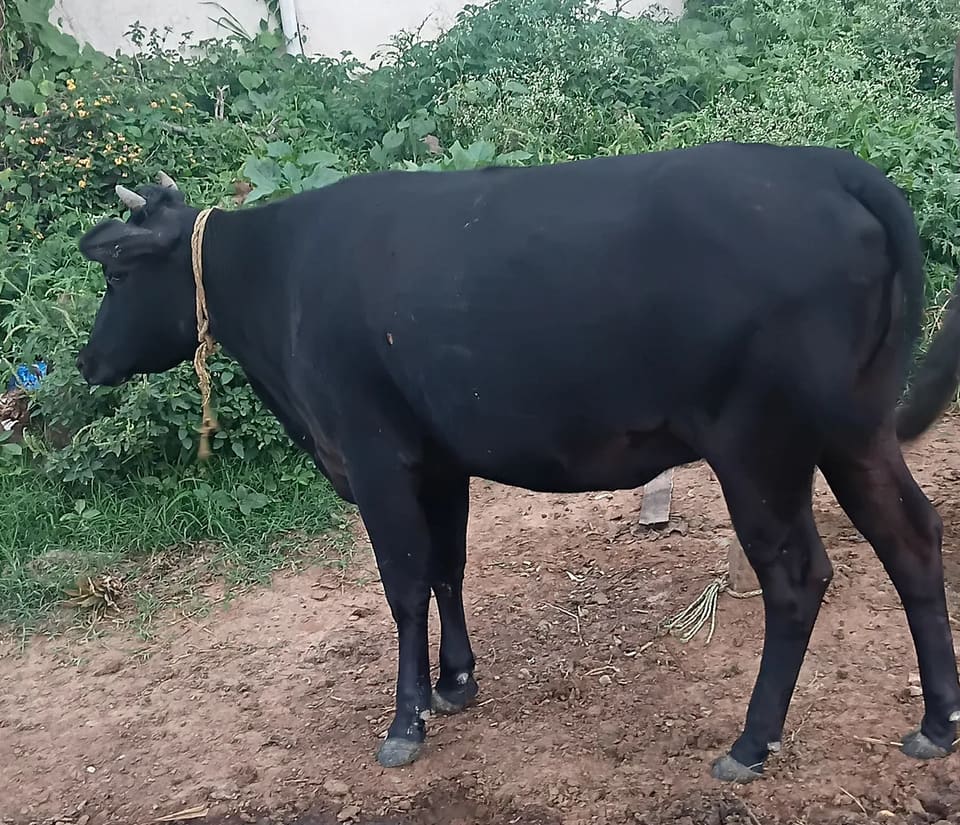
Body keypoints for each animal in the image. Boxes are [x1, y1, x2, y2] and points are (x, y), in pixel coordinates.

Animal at [75, 105, 960, 781]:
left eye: (117, 277)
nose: (86, 360)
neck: (283, 280)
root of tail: (825, 166)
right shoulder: (437, 459)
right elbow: (447, 566)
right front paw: (455, 681)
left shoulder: (372, 453)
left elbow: (403, 586)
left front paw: (405, 723)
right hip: (854, 427)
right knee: (911, 535)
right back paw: (938, 721)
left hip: (758, 443)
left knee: (798, 578)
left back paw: (751, 742)